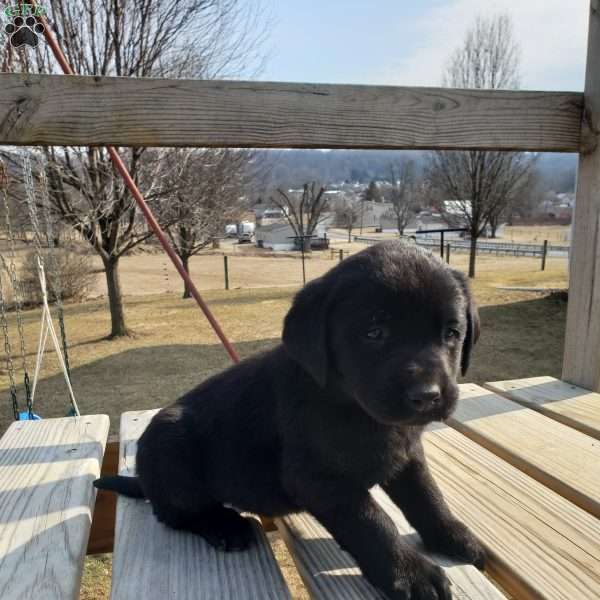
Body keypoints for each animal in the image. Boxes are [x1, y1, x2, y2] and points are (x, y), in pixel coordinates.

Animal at [96, 241, 486, 600]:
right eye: (375, 333)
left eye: (451, 334)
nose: (427, 396)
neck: (353, 407)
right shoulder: (318, 478)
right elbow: (372, 522)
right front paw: (410, 573)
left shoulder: (407, 455)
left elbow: (427, 497)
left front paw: (452, 535)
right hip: (169, 440)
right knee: (177, 512)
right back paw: (226, 526)